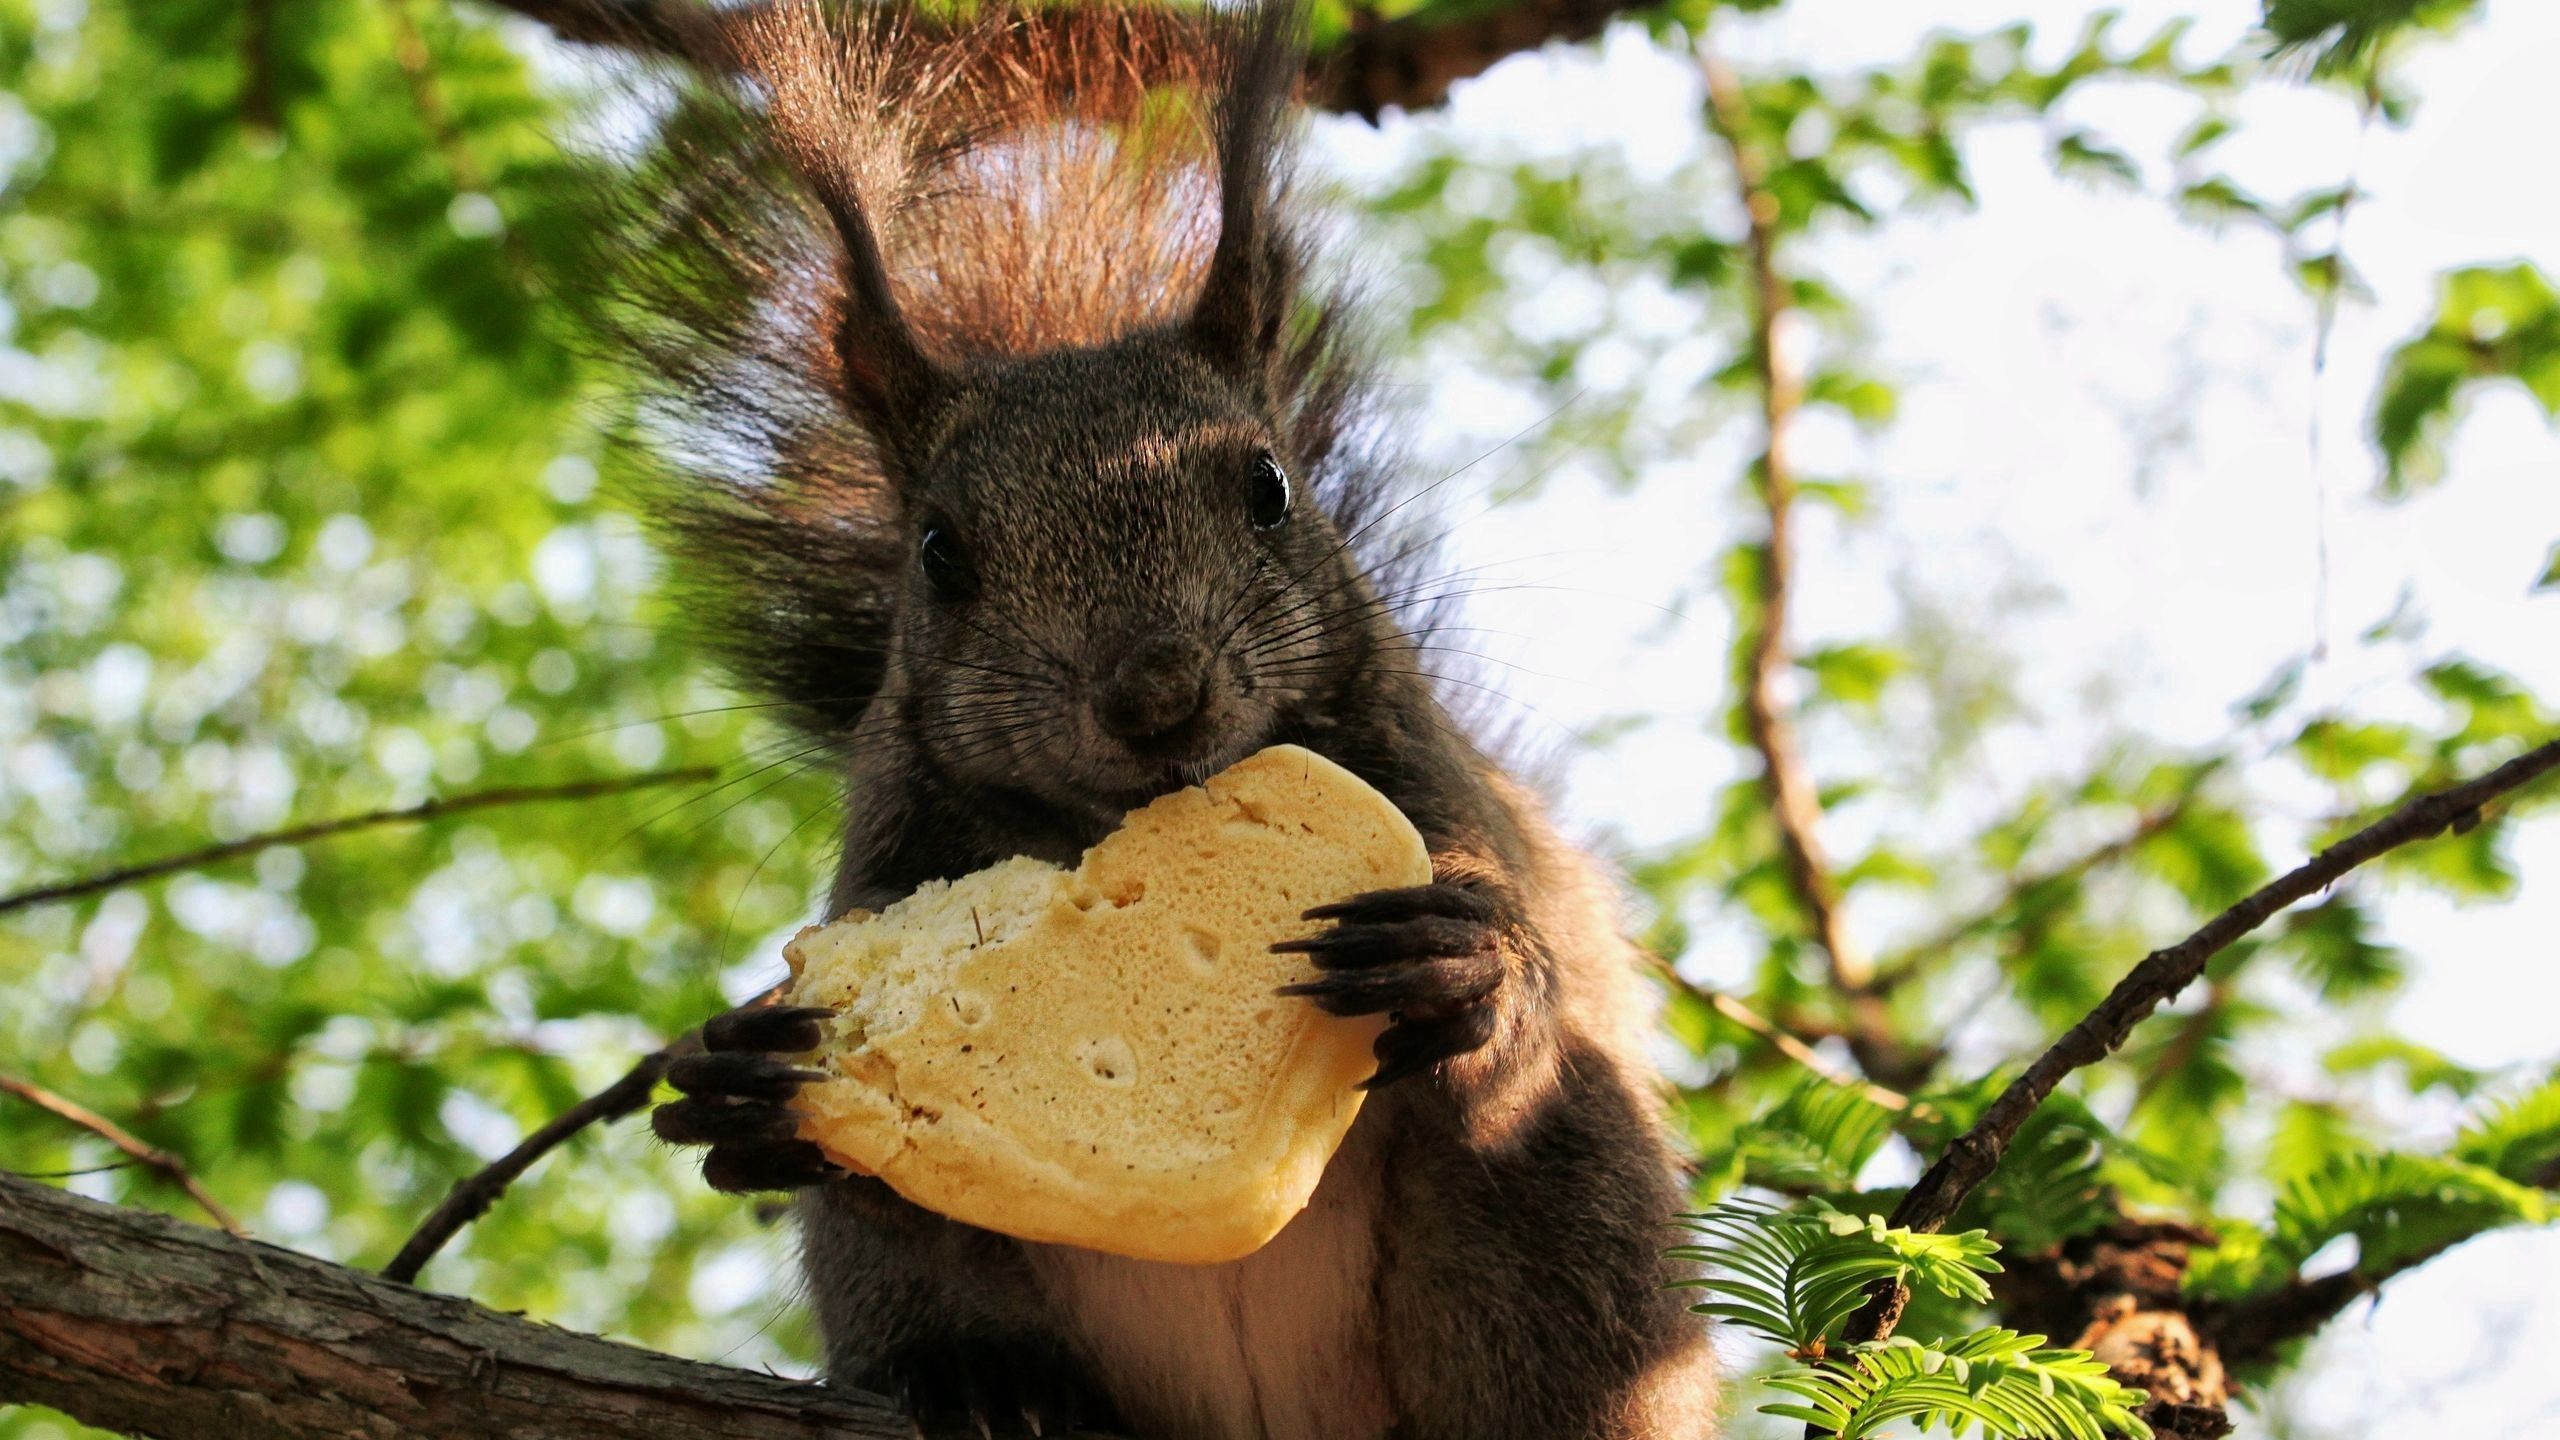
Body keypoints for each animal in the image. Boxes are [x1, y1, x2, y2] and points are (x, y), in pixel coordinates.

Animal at [588, 2, 1720, 1434]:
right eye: (938, 555)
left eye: (1269, 487)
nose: (1152, 696)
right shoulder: (886, 862)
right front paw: (736, 1085)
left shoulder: (1435, 790)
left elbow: (1526, 956)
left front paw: (1465, 958)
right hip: (905, 1279)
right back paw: (982, 1385)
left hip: (1567, 1215)